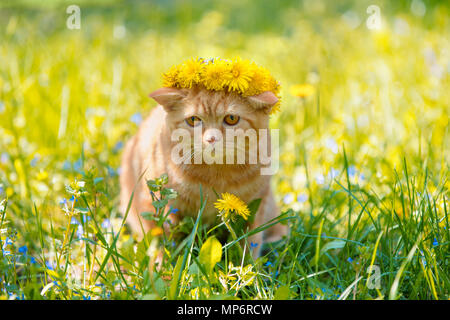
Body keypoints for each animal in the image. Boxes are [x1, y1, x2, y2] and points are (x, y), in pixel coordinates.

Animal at [119, 85, 286, 255]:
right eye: (193, 120)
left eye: (231, 118)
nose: (211, 139)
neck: (217, 175)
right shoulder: (156, 205)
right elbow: (161, 244)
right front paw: (162, 261)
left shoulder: (256, 204)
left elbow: (250, 243)